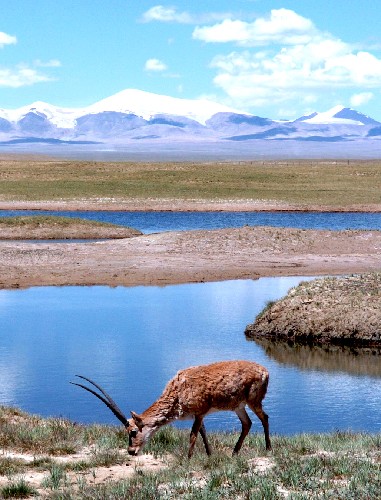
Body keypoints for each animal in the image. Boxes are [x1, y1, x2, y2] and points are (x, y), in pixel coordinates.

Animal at [72, 360, 270, 458]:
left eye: (133, 431)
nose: (131, 451)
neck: (178, 389)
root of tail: (265, 371)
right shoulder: (198, 415)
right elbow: (203, 433)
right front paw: (209, 454)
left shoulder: (199, 413)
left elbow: (193, 435)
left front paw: (187, 459)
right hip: (238, 406)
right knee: (247, 423)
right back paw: (234, 453)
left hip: (253, 401)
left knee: (264, 418)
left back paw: (268, 449)